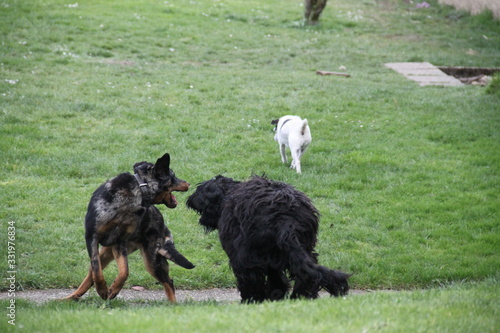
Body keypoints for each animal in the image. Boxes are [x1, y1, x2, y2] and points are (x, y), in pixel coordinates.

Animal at [64, 152, 193, 300]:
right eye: (173, 175)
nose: (189, 183)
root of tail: (163, 224)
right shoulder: (92, 238)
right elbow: (97, 271)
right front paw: (103, 290)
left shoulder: (119, 242)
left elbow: (124, 271)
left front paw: (113, 290)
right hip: (106, 253)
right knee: (91, 274)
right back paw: (69, 298)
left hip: (152, 260)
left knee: (169, 282)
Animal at [186, 175, 350, 302]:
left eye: (200, 190)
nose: (189, 199)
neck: (228, 195)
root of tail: (285, 216)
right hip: (301, 249)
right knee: (305, 274)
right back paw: (300, 297)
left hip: (248, 257)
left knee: (251, 280)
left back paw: (252, 300)